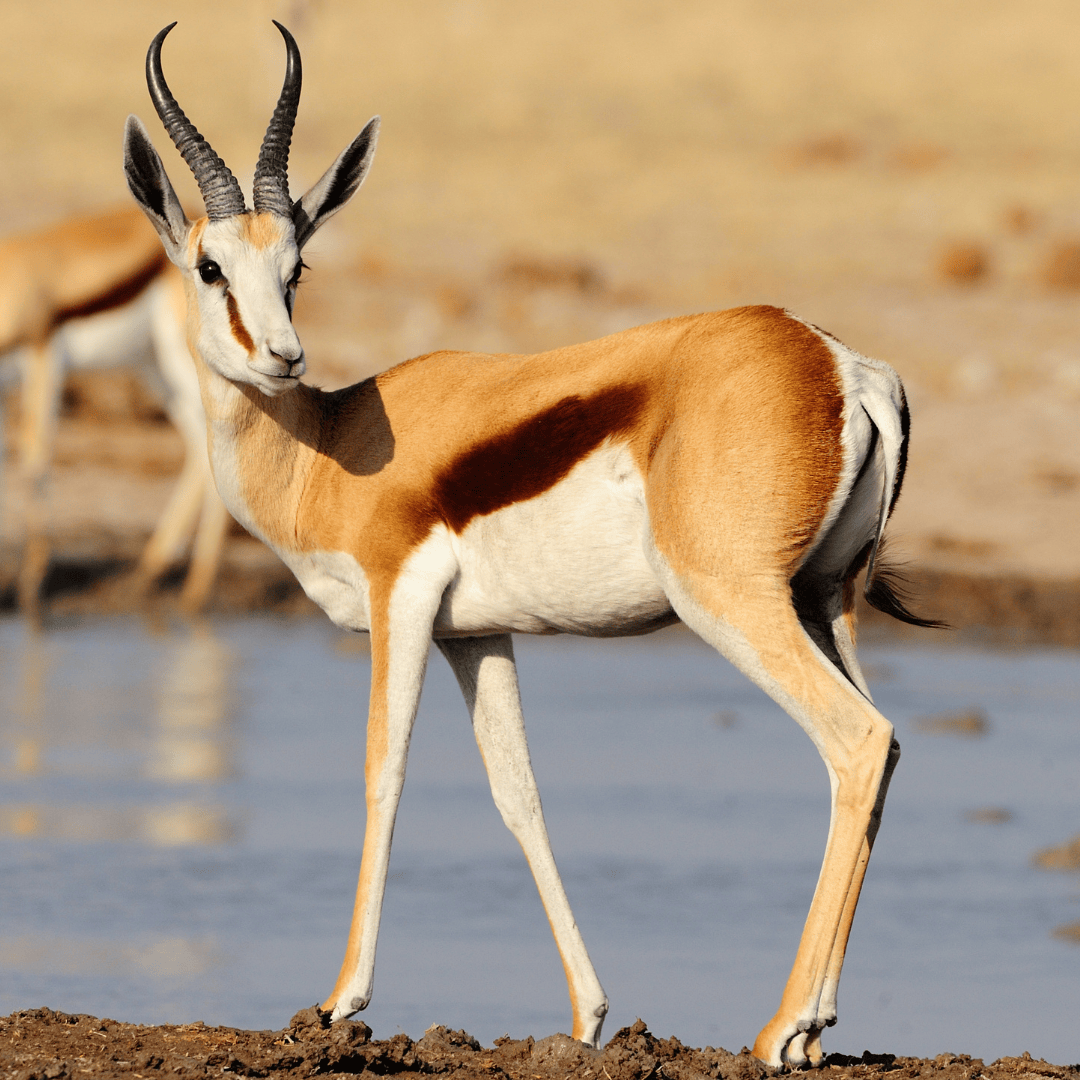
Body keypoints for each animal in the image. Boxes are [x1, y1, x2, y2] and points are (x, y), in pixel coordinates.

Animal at [0, 207, 229, 615]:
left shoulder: (43, 356)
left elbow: (36, 460)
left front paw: (30, 586)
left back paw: (196, 590)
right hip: (152, 367)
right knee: (197, 445)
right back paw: (153, 573)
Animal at [123, 20, 940, 1067]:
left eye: (295, 267)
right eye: (210, 266)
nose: (283, 358)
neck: (330, 446)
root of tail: (843, 364)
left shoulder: (400, 599)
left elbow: (383, 769)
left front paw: (342, 1003)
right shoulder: (478, 633)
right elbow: (520, 795)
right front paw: (589, 1015)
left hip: (732, 601)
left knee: (857, 741)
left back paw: (781, 1027)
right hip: (823, 602)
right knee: (886, 749)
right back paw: (814, 1030)